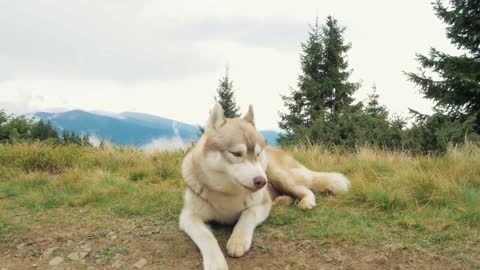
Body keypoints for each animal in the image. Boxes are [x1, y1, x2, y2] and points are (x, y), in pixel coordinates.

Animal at [179, 103, 348, 270]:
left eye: (258, 154)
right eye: (236, 154)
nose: (261, 182)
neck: (228, 193)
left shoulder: (261, 204)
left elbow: (247, 215)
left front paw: (238, 240)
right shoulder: (188, 217)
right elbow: (206, 237)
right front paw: (216, 263)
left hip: (277, 175)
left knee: (305, 189)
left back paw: (306, 201)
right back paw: (282, 200)